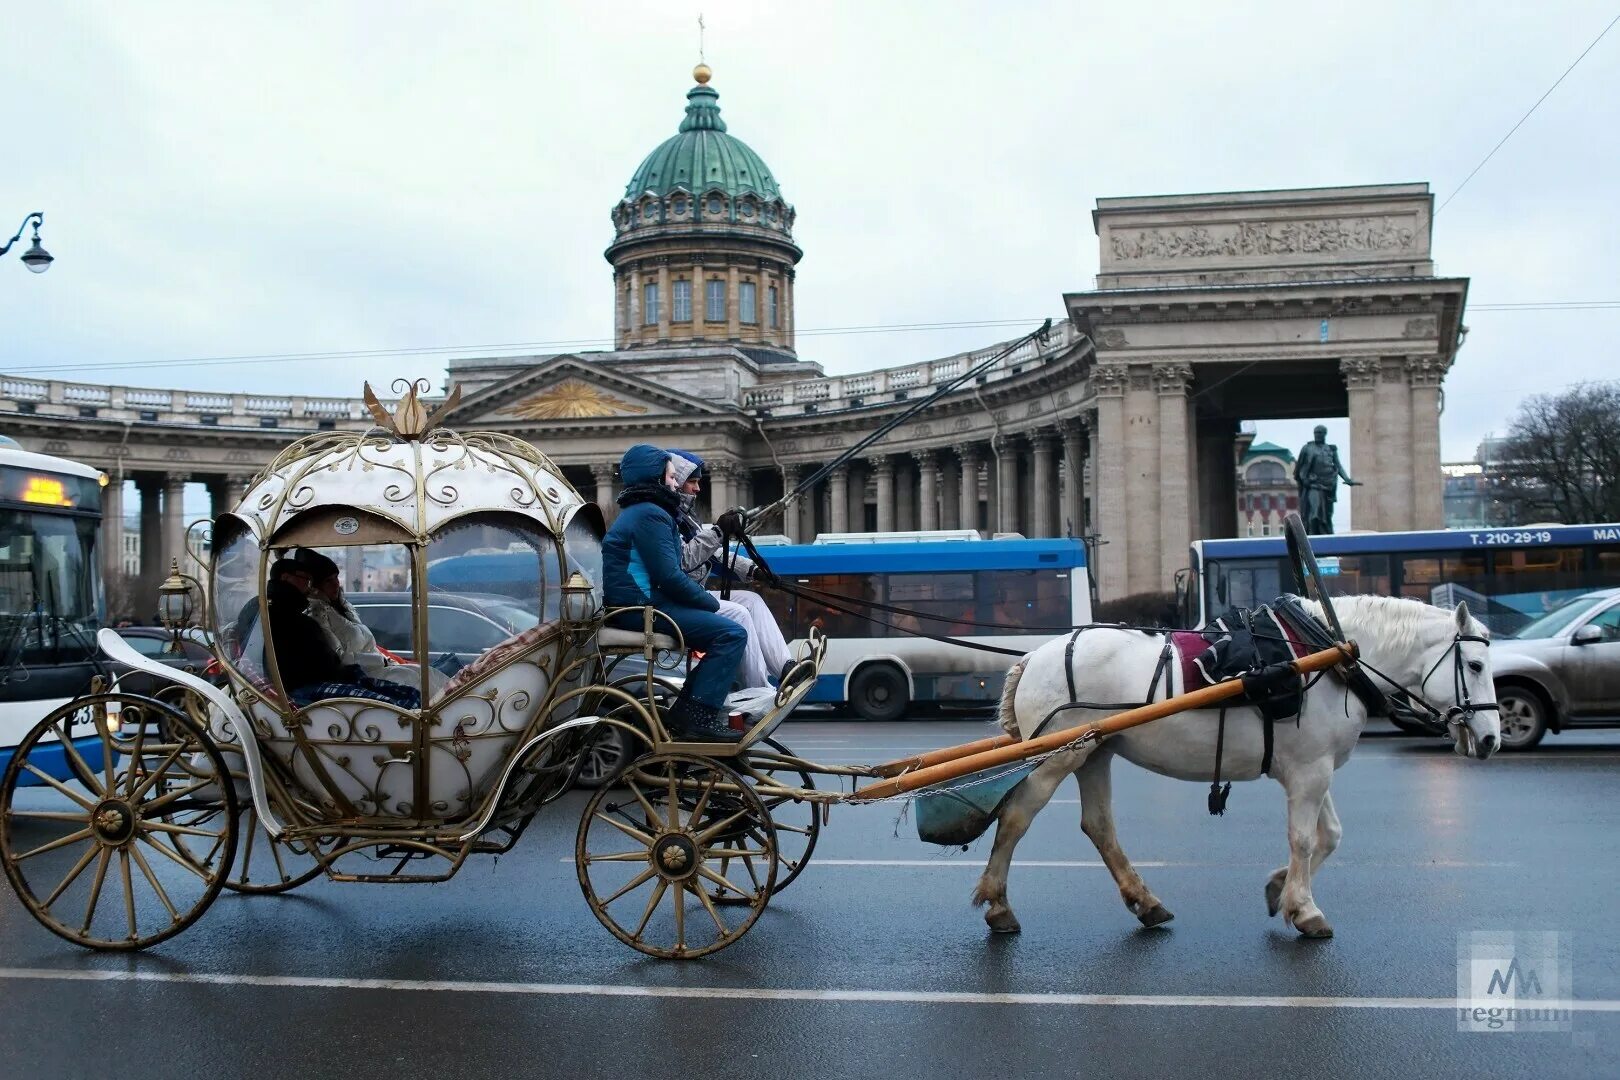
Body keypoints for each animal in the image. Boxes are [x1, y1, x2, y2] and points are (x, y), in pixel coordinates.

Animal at [965, 595, 1496, 939]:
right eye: (1474, 666)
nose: (1492, 739)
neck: (1325, 654)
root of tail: (1035, 656)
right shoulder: (1309, 773)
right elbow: (1304, 839)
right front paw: (1305, 909)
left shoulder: (1313, 768)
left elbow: (1329, 836)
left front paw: (1281, 890)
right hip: (1058, 756)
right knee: (1016, 817)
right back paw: (998, 905)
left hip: (1094, 751)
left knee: (1098, 825)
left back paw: (1146, 902)